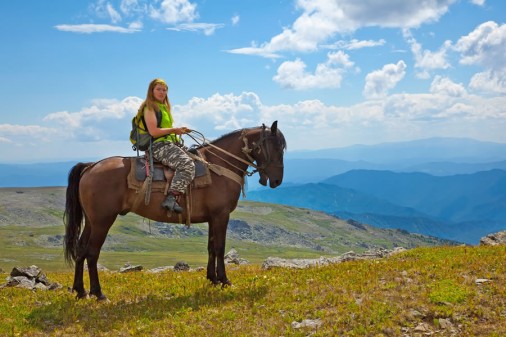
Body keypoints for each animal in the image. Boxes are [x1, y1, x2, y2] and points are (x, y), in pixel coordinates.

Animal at [63, 121, 284, 300]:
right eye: (275, 146)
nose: (276, 181)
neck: (219, 165)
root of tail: (91, 166)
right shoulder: (221, 215)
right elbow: (220, 248)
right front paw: (224, 280)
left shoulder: (213, 217)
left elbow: (211, 247)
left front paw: (212, 279)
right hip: (102, 221)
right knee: (92, 253)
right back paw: (98, 293)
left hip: (92, 221)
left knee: (81, 250)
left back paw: (81, 291)